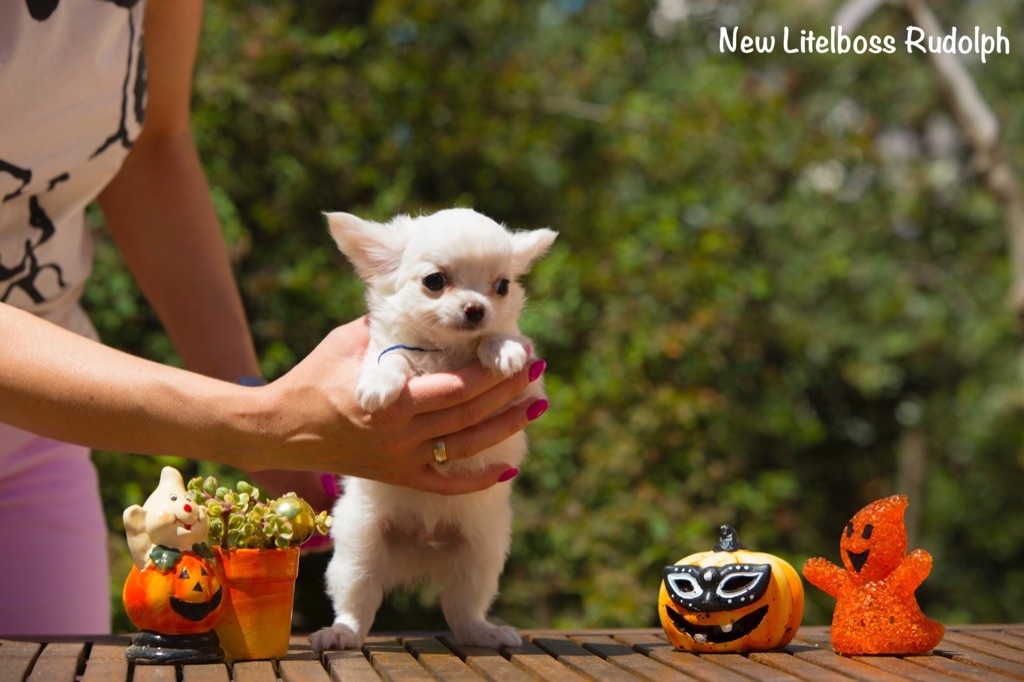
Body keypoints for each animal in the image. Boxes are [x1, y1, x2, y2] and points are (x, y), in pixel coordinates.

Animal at [310, 208, 556, 651]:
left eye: (502, 286)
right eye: (435, 281)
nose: (477, 309)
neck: (447, 352)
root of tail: (419, 550)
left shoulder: (526, 392)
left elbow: (507, 344)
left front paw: (500, 347)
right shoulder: (381, 349)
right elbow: (391, 357)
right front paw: (380, 383)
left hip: (480, 554)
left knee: (462, 611)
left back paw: (486, 632)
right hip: (358, 549)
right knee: (356, 606)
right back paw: (341, 634)